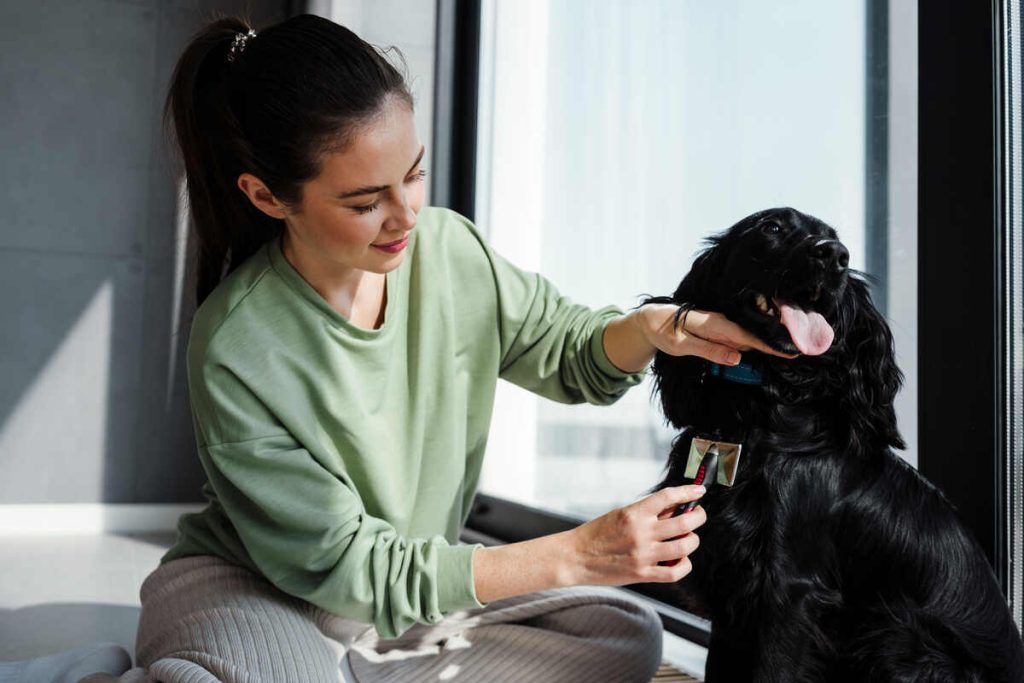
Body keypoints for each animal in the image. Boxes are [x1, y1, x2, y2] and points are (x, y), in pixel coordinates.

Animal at [643, 208, 1019, 683]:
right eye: (772, 228)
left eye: (836, 240)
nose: (835, 256)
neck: (756, 420)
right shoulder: (734, 595)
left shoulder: (787, 592)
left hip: (901, 637)